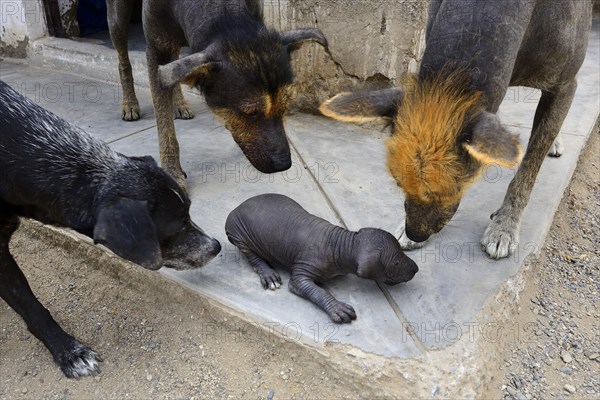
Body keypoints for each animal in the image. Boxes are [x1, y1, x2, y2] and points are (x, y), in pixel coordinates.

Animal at [225, 193, 418, 322]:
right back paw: (268, 274)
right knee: (252, 256)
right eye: (396, 262)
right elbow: (316, 290)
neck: (342, 244)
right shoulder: (301, 273)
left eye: (402, 252)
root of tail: (237, 207)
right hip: (239, 233)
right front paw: (338, 308)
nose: (416, 268)